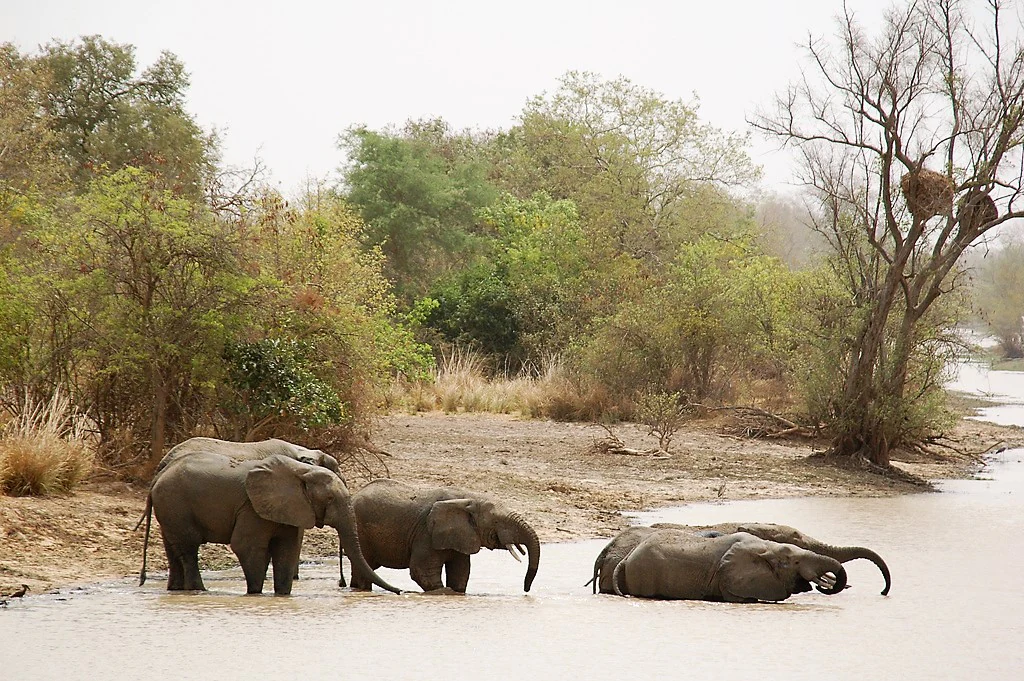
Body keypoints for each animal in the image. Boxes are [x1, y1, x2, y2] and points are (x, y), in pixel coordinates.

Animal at [138, 452, 402, 595]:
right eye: (329, 499)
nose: (400, 591)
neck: (301, 471)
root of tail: (156, 479)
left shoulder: (291, 507)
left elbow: (287, 549)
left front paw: (282, 596)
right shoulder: (252, 507)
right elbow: (247, 546)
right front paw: (255, 594)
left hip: (170, 509)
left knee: (173, 549)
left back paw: (176, 590)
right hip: (176, 504)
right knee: (189, 549)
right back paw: (199, 591)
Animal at [348, 479, 541, 593]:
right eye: (497, 521)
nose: (526, 590)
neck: (469, 498)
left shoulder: (461, 536)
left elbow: (460, 573)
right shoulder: (426, 533)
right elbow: (422, 571)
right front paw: (446, 594)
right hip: (361, 531)